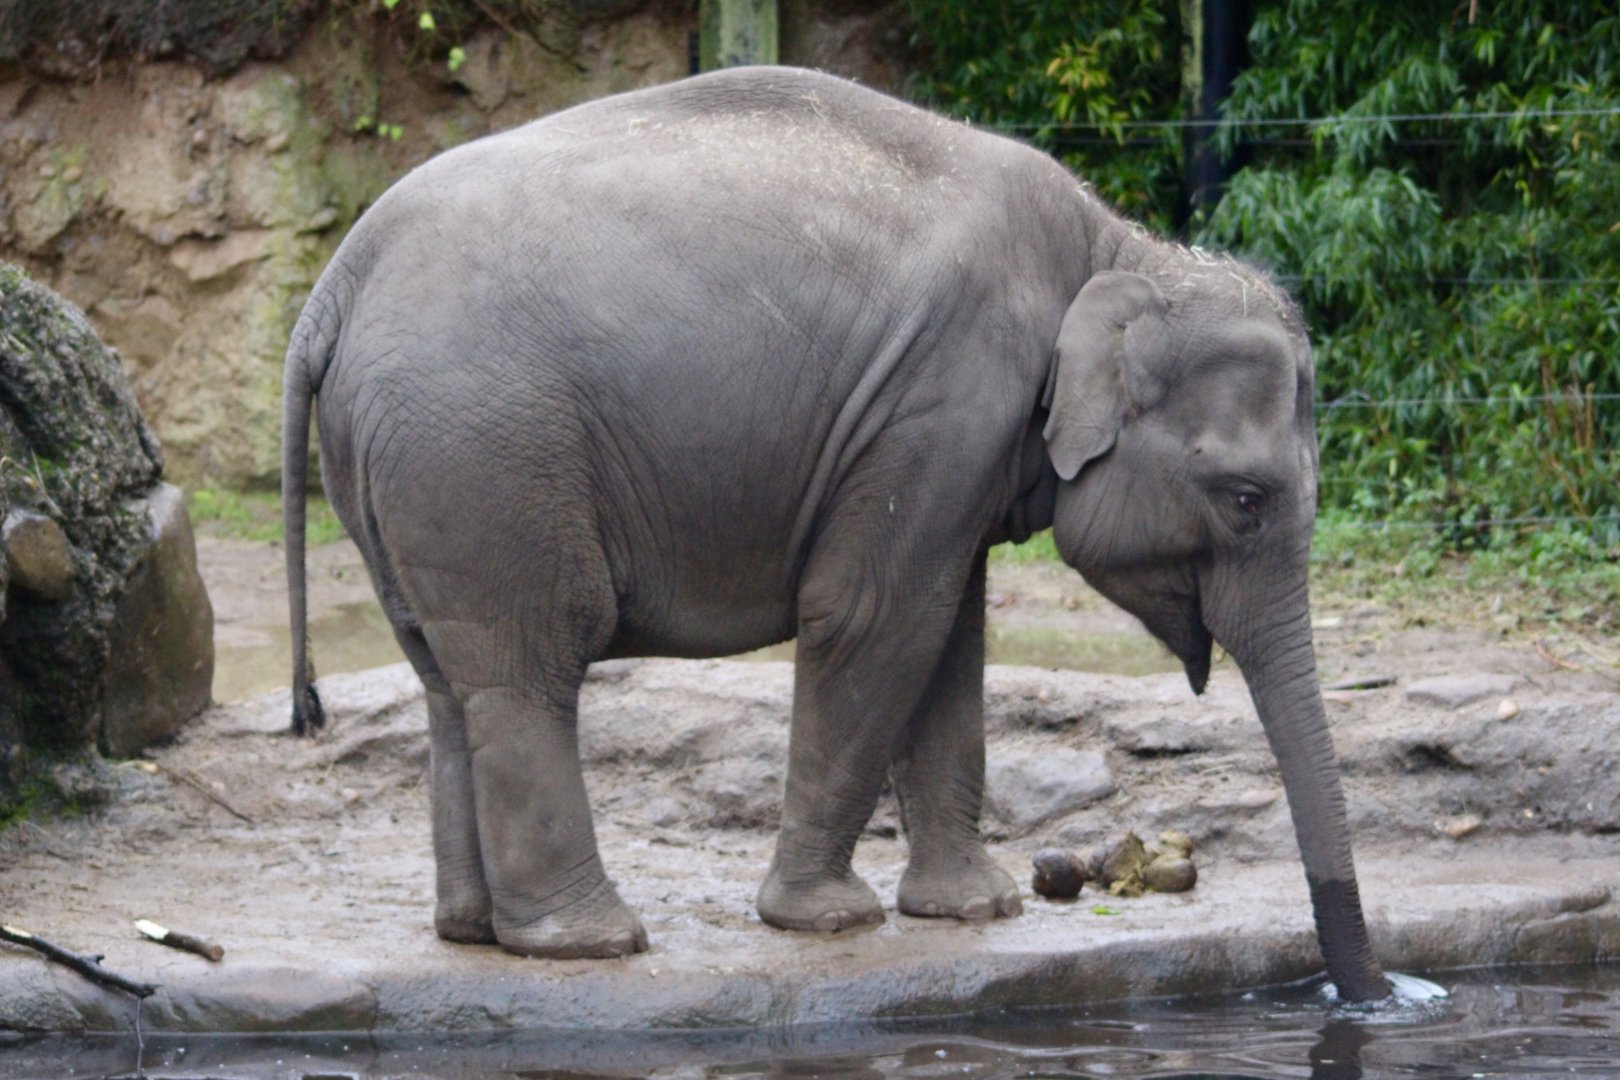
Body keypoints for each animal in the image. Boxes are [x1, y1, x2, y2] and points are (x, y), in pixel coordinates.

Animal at [281, 65, 1390, 1002]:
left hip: (413, 469)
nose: (1366, 996)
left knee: (450, 677)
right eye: (1246, 500)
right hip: (486, 452)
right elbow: (876, 619)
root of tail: (334, 287)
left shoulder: (954, 445)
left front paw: (974, 909)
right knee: (535, 661)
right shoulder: (945, 397)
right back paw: (593, 942)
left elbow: (950, 640)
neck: (1117, 250)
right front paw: (828, 922)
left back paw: (475, 932)